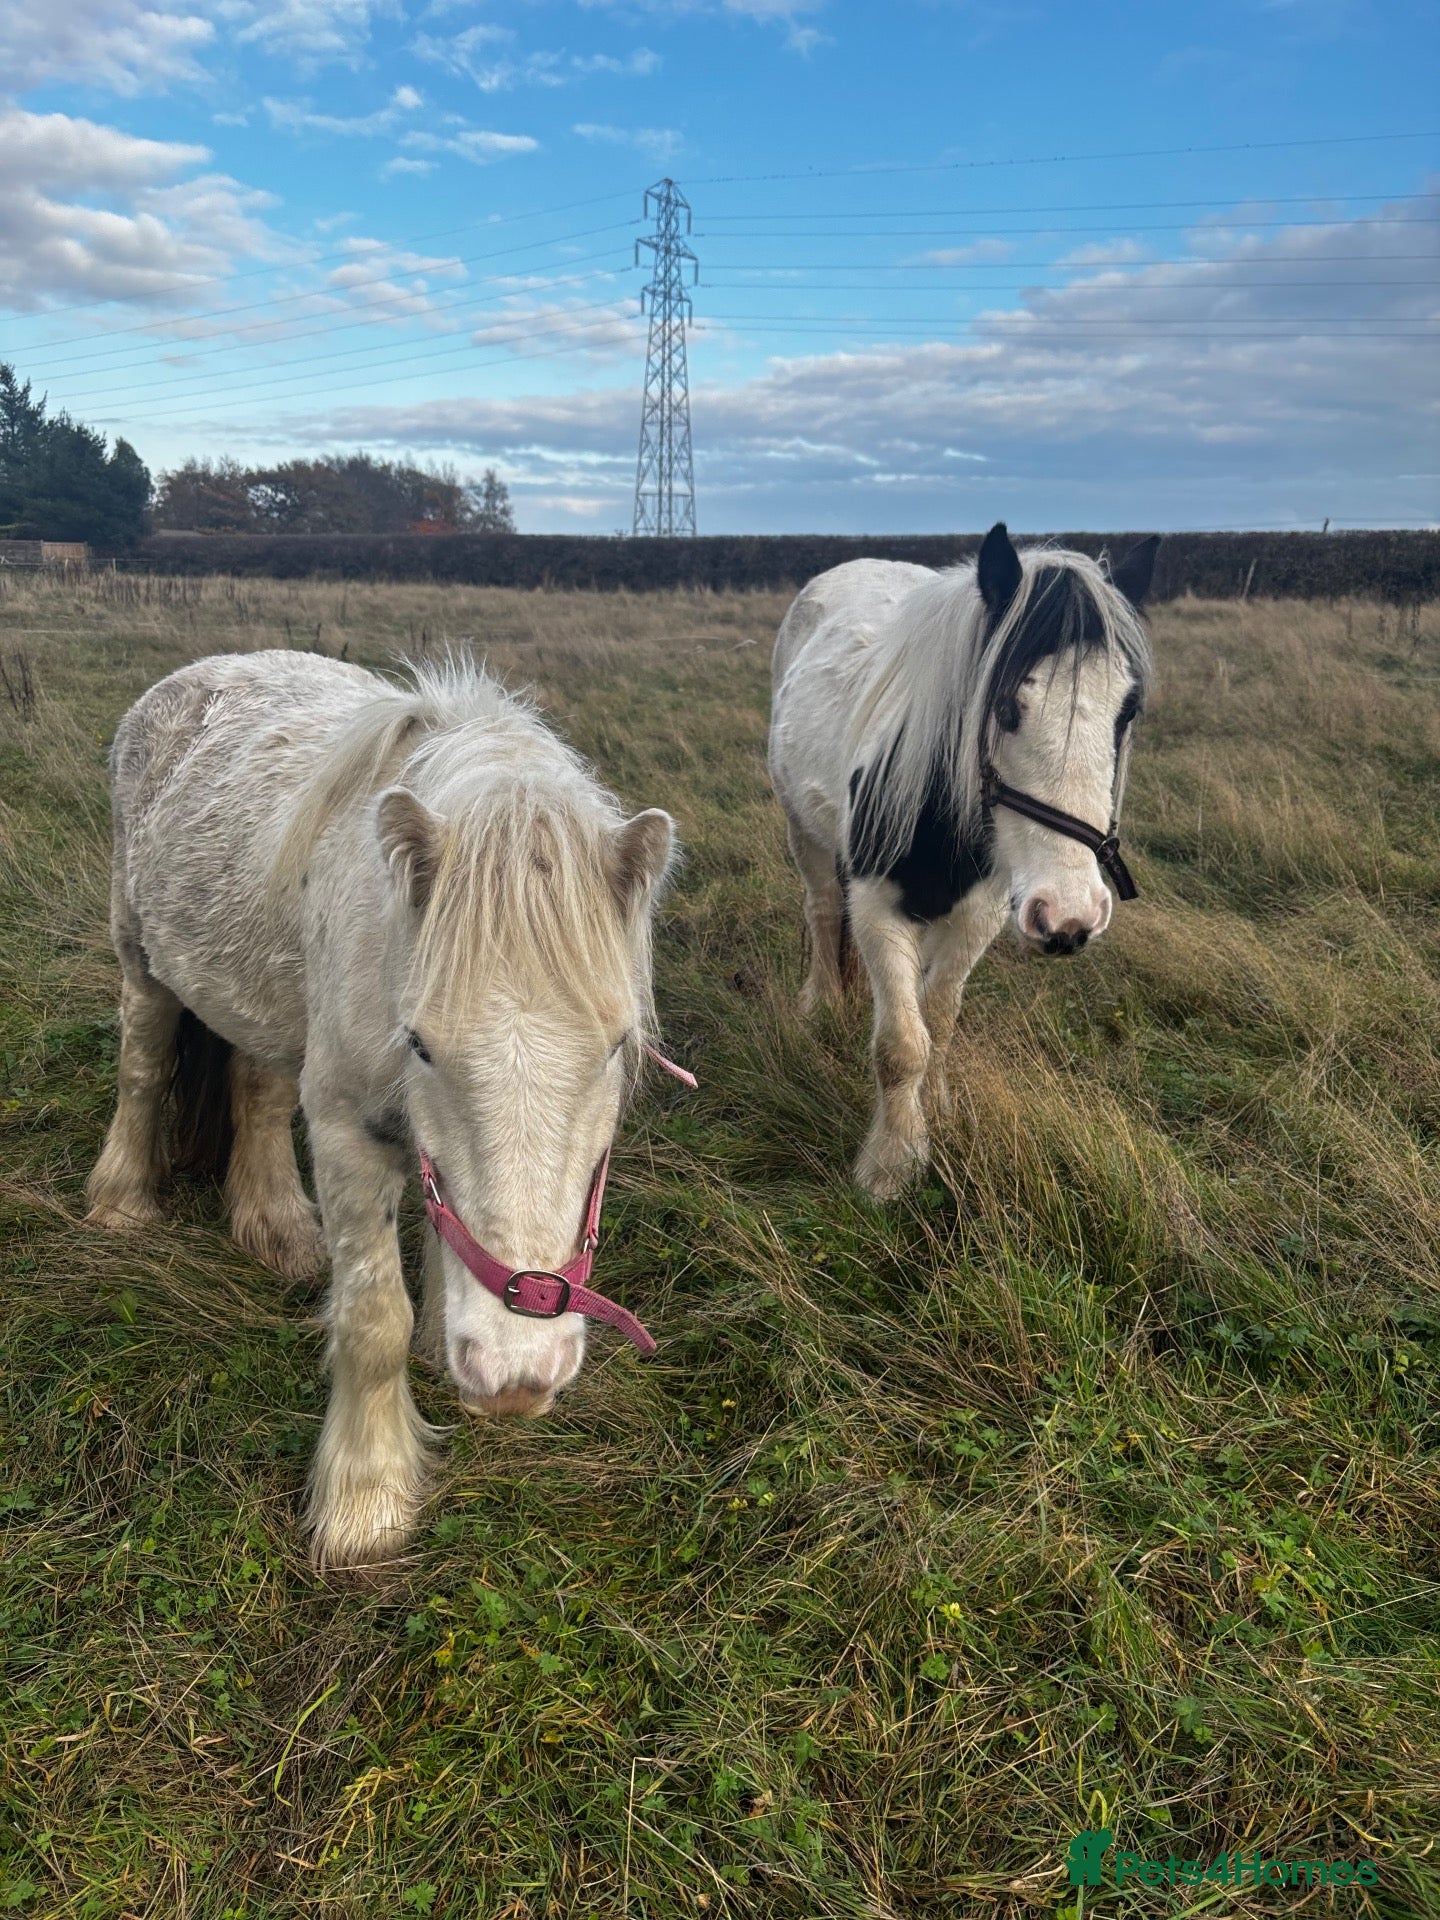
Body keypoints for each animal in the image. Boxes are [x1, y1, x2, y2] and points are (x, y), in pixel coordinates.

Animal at [86, 651, 679, 1568]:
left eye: (617, 1045)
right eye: (422, 1044)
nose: (519, 1377)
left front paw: (445, 1347)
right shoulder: (347, 1135)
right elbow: (372, 1321)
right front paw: (366, 1502)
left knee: (258, 1090)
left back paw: (278, 1228)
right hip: (141, 957)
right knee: (144, 1065)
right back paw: (120, 1202)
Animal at [767, 522, 1158, 1197]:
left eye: (1126, 709)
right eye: (1004, 706)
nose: (1072, 916)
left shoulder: (980, 914)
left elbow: (939, 1019)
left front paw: (936, 1107)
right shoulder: (876, 908)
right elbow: (902, 1044)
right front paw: (892, 1163)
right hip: (805, 832)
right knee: (820, 909)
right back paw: (821, 1004)